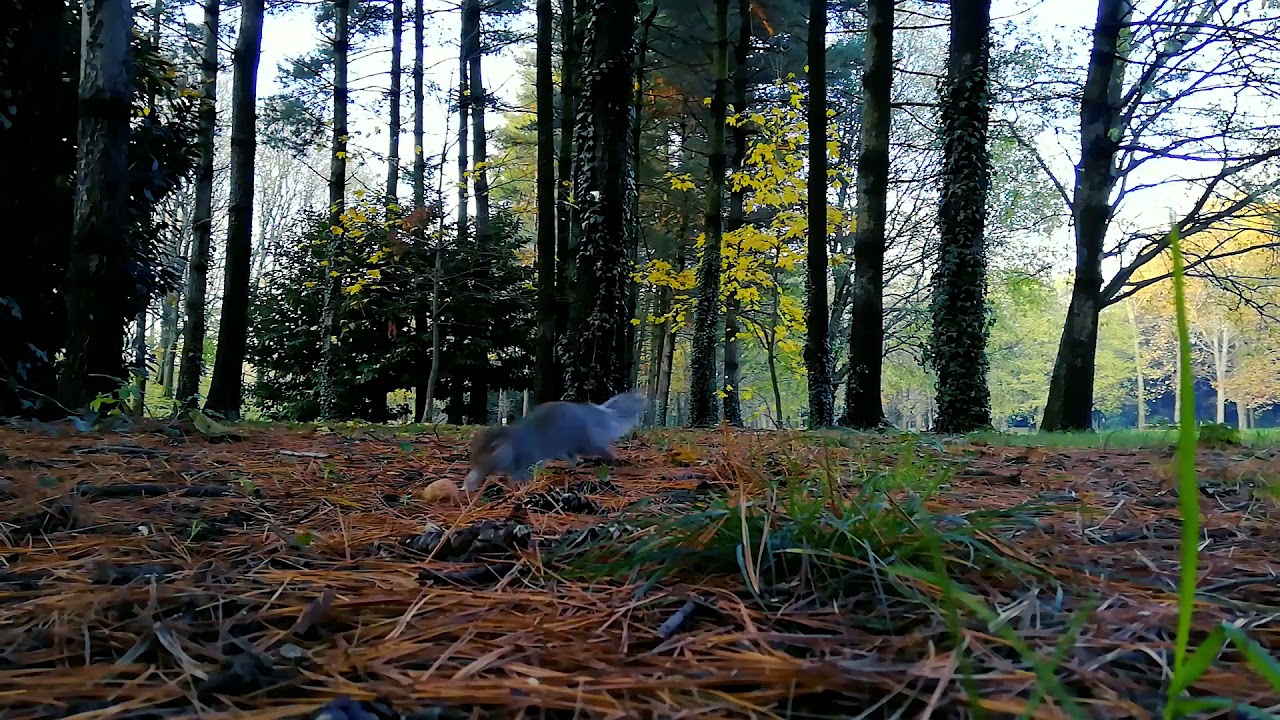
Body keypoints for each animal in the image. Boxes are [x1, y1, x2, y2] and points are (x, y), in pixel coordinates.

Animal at [464, 390, 648, 494]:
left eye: (493, 448)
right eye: (475, 448)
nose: (474, 462)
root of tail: (588, 412)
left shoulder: (527, 460)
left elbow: (520, 475)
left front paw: (514, 487)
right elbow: (477, 475)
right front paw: (468, 485)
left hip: (585, 442)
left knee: (601, 449)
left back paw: (613, 459)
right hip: (566, 448)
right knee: (574, 458)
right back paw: (572, 468)